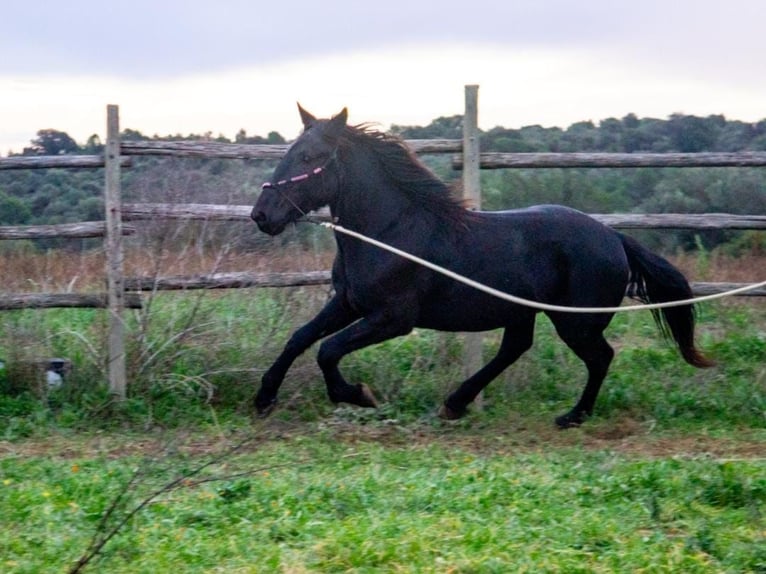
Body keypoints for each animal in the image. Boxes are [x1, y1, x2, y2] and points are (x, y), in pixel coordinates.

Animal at [252, 104, 712, 428]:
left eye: (309, 156)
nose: (261, 215)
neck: (390, 232)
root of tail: (614, 238)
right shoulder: (348, 303)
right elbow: (300, 339)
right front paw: (263, 398)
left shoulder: (392, 319)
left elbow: (327, 350)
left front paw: (358, 395)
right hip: (523, 311)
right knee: (516, 348)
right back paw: (456, 403)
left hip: (575, 321)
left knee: (600, 357)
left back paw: (571, 416)